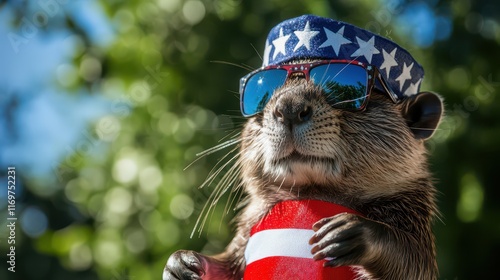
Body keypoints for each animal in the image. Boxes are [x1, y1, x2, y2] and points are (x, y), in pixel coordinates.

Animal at [162, 15, 444, 280]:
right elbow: (227, 263)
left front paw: (349, 231)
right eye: (266, 90)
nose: (289, 107)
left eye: (345, 89)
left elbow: (413, 263)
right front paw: (181, 263)